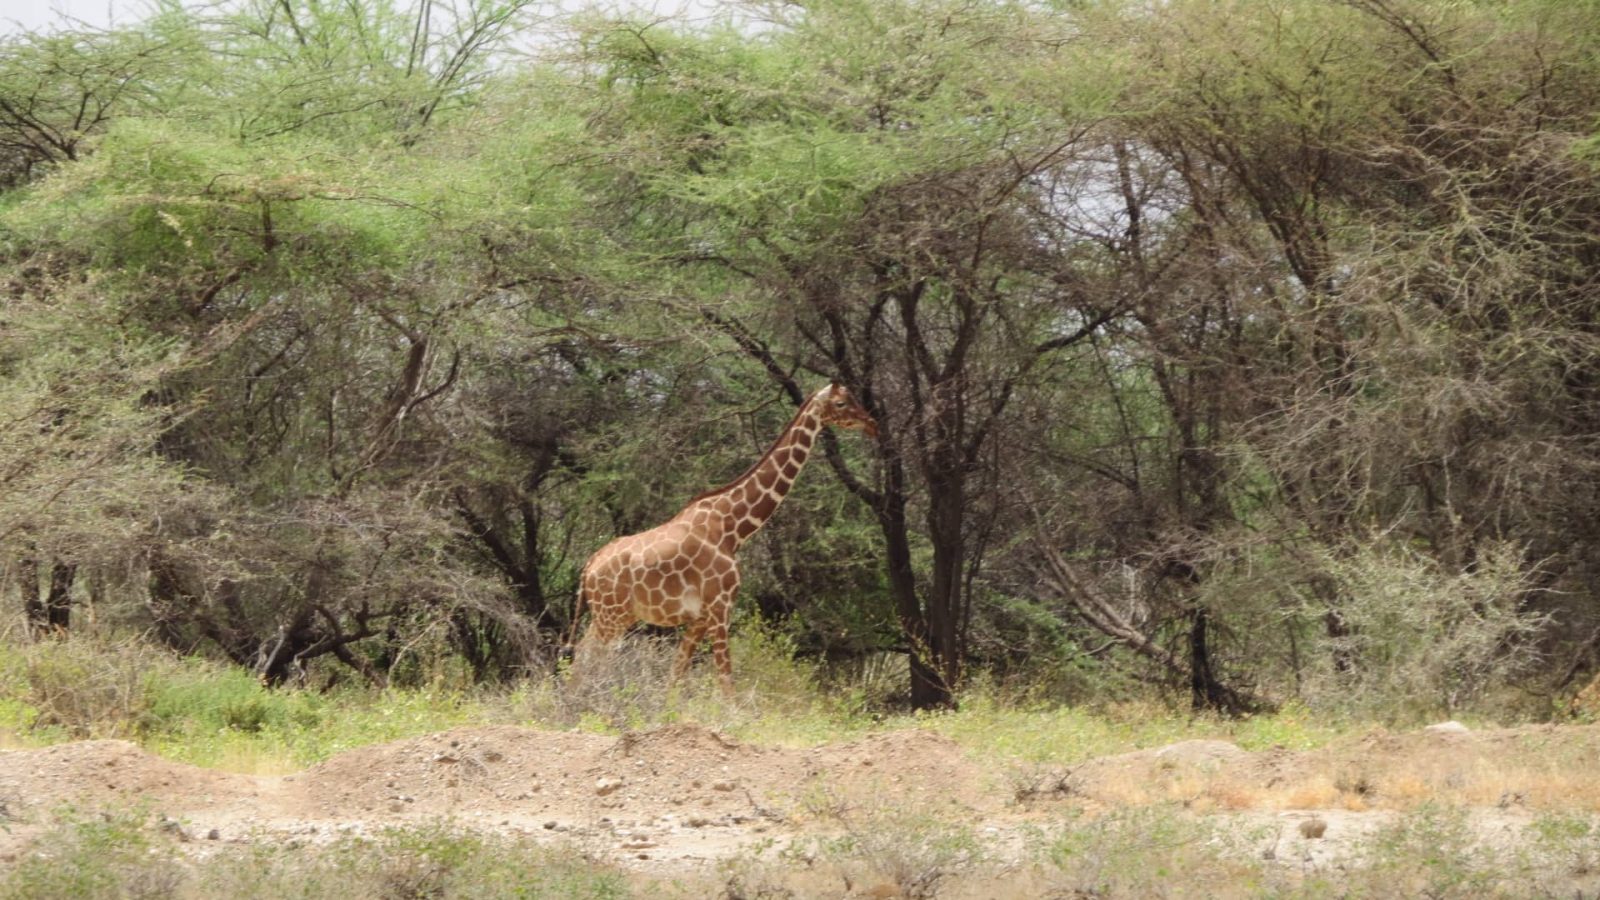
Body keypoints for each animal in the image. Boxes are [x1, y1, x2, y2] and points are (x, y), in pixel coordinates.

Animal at [572, 381, 876, 688]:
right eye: (840, 403)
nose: (871, 424)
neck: (734, 527)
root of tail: (588, 567)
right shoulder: (721, 609)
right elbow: (726, 682)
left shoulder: (699, 619)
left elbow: (676, 677)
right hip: (612, 616)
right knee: (584, 657)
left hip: (612, 616)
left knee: (582, 655)